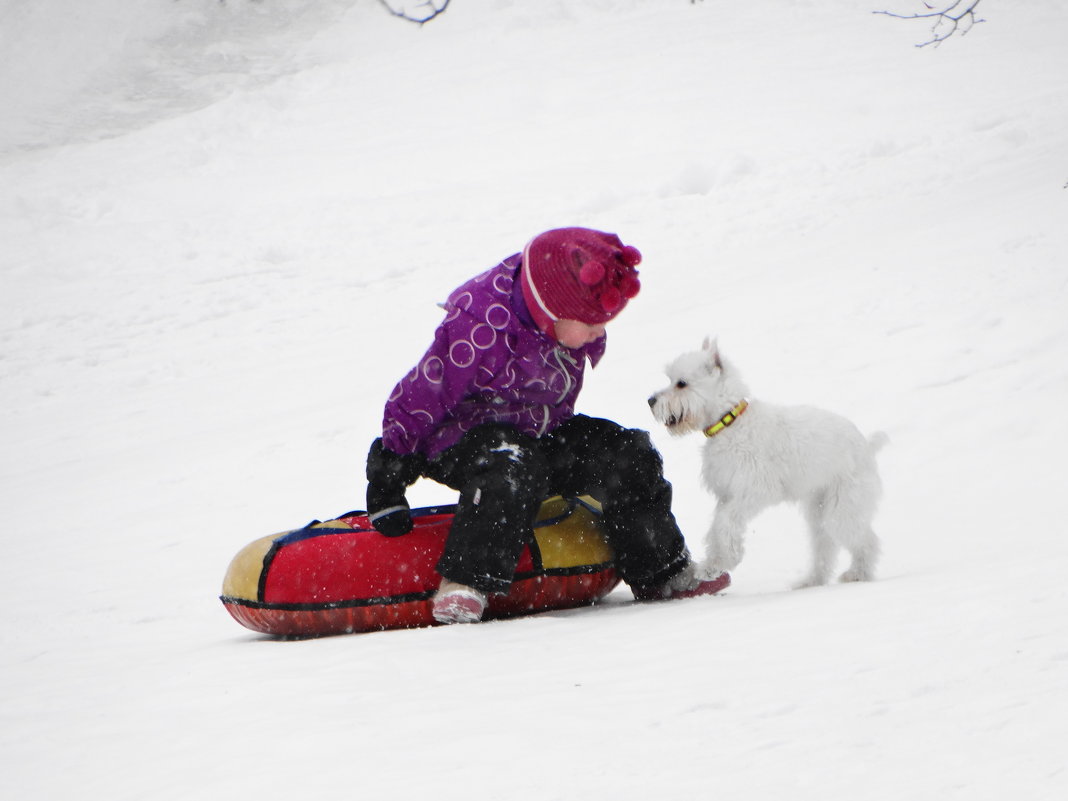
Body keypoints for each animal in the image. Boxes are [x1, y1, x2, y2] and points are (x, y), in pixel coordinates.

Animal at [645, 339, 888, 589]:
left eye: (681, 383)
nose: (651, 401)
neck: (730, 423)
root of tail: (867, 447)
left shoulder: (752, 491)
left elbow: (723, 524)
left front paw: (726, 560)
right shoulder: (727, 496)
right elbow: (716, 529)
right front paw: (712, 566)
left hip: (843, 508)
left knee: (867, 541)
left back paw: (858, 574)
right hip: (820, 511)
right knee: (825, 549)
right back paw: (811, 581)